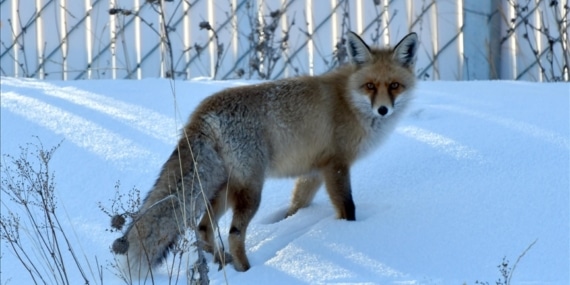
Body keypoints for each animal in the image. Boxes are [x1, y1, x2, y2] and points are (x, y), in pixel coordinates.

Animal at [112, 30, 418, 276]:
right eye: (370, 86)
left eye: (394, 85)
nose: (383, 110)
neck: (350, 100)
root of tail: (202, 112)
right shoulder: (337, 165)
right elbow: (347, 207)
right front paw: (350, 232)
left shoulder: (314, 171)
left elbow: (297, 205)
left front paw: (288, 221)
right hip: (250, 188)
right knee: (234, 233)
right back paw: (247, 270)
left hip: (224, 187)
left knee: (203, 226)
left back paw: (220, 262)